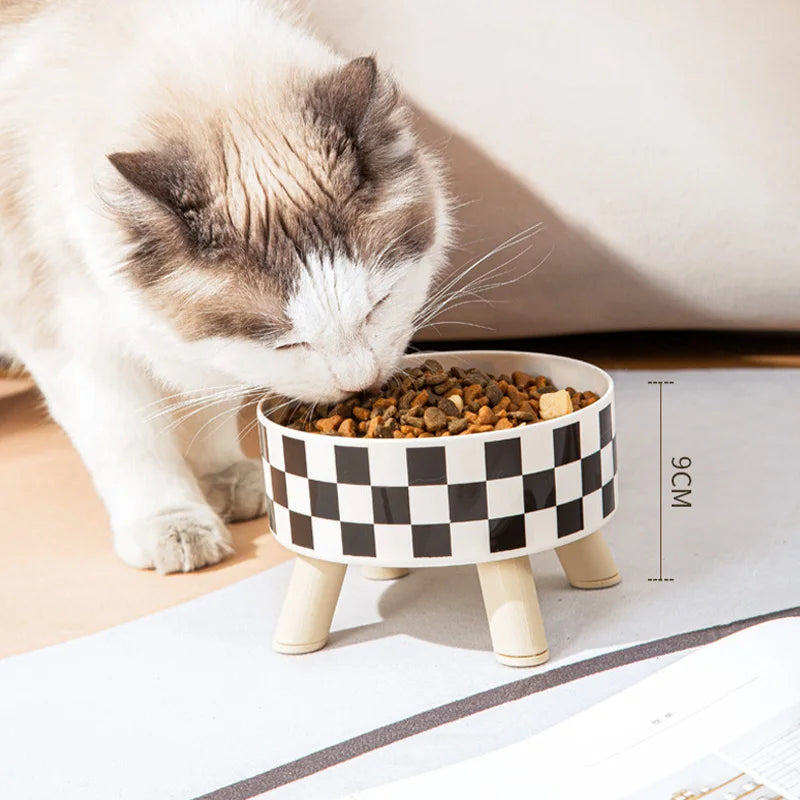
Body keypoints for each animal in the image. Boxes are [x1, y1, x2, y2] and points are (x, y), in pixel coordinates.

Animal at [0, 1, 450, 576]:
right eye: (287, 342)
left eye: (379, 305)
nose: (358, 384)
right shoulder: (73, 342)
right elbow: (131, 441)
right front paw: (175, 527)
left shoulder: (205, 355)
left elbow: (208, 410)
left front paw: (226, 483)